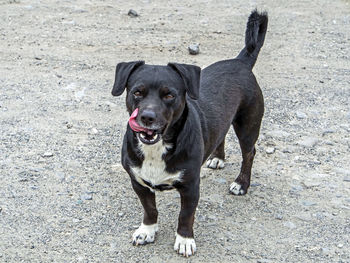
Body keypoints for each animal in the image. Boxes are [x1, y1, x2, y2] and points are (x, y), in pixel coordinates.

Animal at [112, 10, 268, 258]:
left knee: (249, 154)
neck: (156, 149)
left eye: (169, 95)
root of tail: (240, 61)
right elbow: (149, 208)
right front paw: (147, 230)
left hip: (248, 126)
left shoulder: (191, 186)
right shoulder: (138, 182)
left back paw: (241, 183)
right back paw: (217, 158)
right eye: (137, 92)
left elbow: (185, 216)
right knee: (221, 135)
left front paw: (184, 240)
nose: (147, 117)